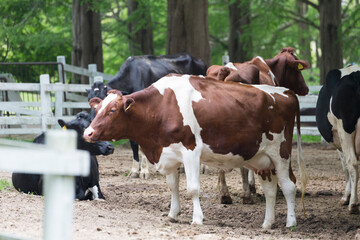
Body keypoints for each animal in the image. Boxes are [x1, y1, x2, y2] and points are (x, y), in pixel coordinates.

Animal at [83, 74, 306, 228]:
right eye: (97, 109)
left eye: (112, 110)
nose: (88, 132)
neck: (162, 107)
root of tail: (287, 92)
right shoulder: (169, 153)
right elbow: (173, 186)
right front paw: (173, 214)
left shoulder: (191, 151)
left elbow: (192, 188)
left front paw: (197, 218)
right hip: (261, 159)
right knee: (270, 190)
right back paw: (267, 223)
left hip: (281, 152)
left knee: (289, 185)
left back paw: (291, 222)